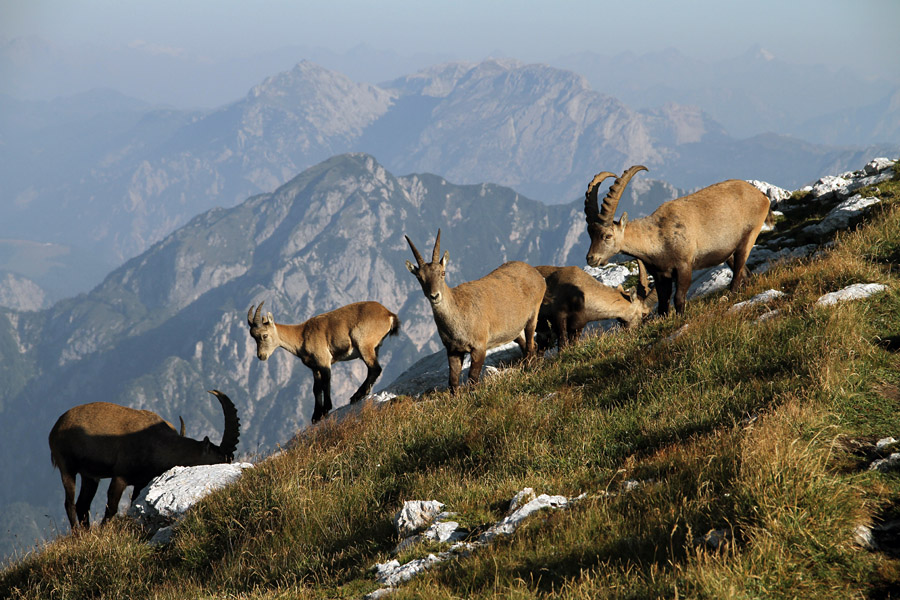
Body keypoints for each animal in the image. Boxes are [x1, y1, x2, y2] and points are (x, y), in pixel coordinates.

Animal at [48, 390, 240, 530]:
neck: (158, 443)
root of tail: (55, 428)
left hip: (90, 476)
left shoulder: (141, 482)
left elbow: (132, 503)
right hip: (67, 466)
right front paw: (104, 531)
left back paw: (87, 534)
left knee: (82, 505)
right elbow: (112, 506)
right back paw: (77, 535)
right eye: (218, 459)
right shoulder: (120, 476)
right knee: (69, 504)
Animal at [247, 301, 400, 423]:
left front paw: (326, 409)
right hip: (373, 348)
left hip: (363, 344)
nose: (261, 356)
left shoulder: (324, 361)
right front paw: (316, 415)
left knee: (375, 368)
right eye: (253, 337)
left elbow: (326, 383)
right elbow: (316, 388)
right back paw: (362, 393)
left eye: (264, 335)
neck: (302, 336)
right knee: (372, 370)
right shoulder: (315, 368)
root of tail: (388, 314)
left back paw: (356, 396)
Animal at [405, 229, 546, 393]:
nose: (434, 296)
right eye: (419, 278)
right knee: (527, 346)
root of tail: (536, 274)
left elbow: (472, 377)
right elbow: (453, 381)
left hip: (533, 315)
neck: (458, 313)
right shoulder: (453, 350)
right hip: (515, 330)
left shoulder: (479, 346)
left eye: (442, 273)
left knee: (530, 345)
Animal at [584, 166, 772, 315]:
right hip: (728, 252)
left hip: (749, 236)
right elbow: (663, 304)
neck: (658, 238)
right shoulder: (660, 275)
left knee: (739, 271)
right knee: (745, 273)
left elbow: (679, 298)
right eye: (590, 234)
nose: (591, 258)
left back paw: (730, 295)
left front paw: (680, 317)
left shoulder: (684, 266)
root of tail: (762, 196)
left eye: (608, 236)